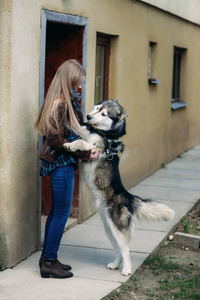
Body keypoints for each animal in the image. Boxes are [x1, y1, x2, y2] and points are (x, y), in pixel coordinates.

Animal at [63, 99, 174, 276]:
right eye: (97, 108)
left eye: (103, 114)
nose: (88, 116)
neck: (103, 133)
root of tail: (127, 196)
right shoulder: (86, 133)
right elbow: (80, 132)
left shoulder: (94, 149)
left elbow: (81, 142)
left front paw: (70, 145)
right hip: (110, 230)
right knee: (119, 251)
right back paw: (115, 265)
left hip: (118, 229)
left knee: (126, 250)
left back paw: (127, 270)